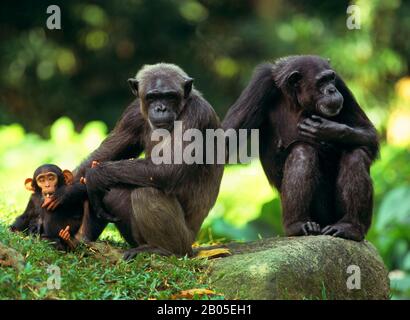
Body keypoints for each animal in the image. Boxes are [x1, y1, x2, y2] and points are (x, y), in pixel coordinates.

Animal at [52, 63, 224, 260]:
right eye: (152, 97)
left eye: (170, 96)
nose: (161, 108)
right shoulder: (132, 115)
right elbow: (104, 154)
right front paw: (66, 192)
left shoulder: (196, 115)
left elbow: (169, 169)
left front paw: (95, 176)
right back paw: (81, 238)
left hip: (186, 241)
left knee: (146, 193)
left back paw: (163, 249)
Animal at [223, 55, 380, 241]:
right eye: (321, 81)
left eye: (331, 78)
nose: (332, 90)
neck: (294, 99)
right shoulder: (259, 86)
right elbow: (226, 136)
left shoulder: (342, 84)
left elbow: (369, 133)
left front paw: (329, 130)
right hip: (317, 212)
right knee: (302, 151)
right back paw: (296, 225)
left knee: (356, 153)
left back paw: (350, 227)